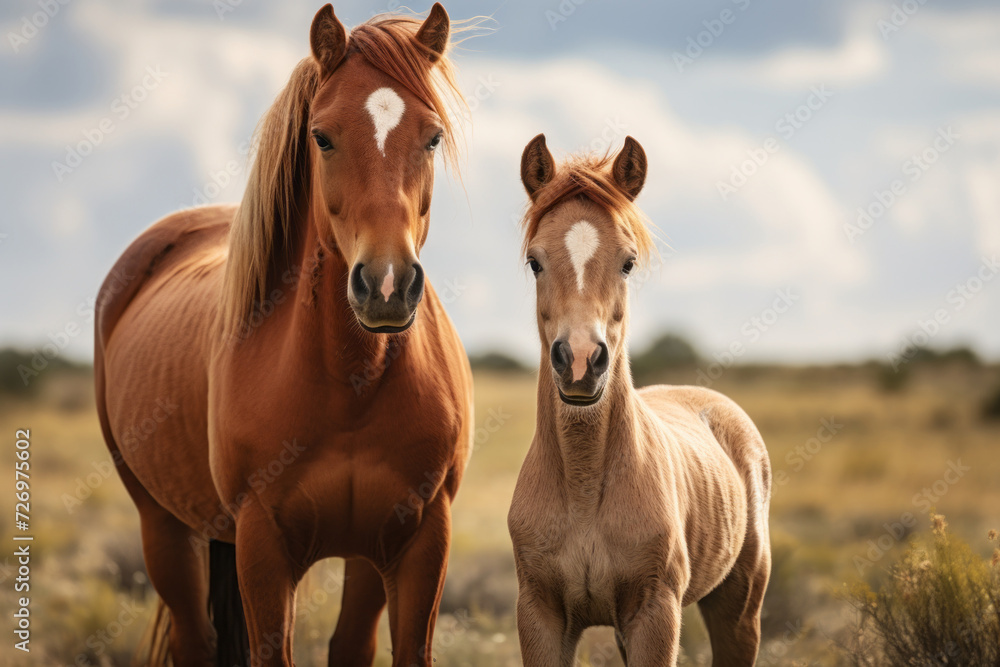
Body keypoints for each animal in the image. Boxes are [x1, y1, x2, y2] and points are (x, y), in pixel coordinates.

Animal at [94, 3, 472, 664]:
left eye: (432, 137)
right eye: (322, 137)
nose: (387, 285)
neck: (351, 384)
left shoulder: (417, 540)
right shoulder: (263, 544)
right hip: (164, 528)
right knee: (195, 639)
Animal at [508, 133, 772, 664]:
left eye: (627, 262)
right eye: (535, 261)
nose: (581, 360)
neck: (584, 485)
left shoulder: (655, 614)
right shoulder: (540, 614)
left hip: (739, 609)